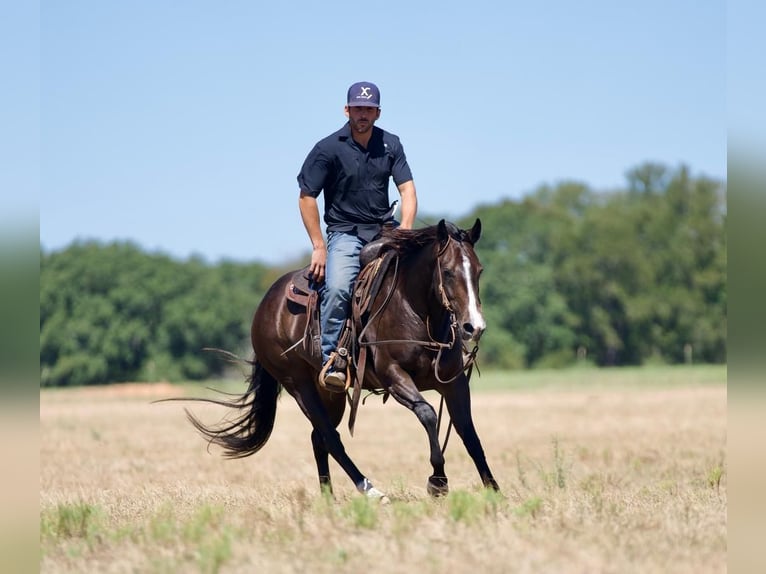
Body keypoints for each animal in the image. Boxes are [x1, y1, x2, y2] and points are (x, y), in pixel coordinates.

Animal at [174, 219, 500, 500]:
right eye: (448, 271)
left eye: (480, 270)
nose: (474, 327)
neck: (415, 311)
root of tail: (266, 304)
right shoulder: (394, 376)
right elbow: (429, 414)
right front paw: (438, 482)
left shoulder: (454, 383)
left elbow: (469, 433)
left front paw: (494, 490)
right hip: (299, 385)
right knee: (330, 438)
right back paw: (371, 490)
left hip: (331, 393)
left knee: (318, 438)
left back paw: (328, 498)